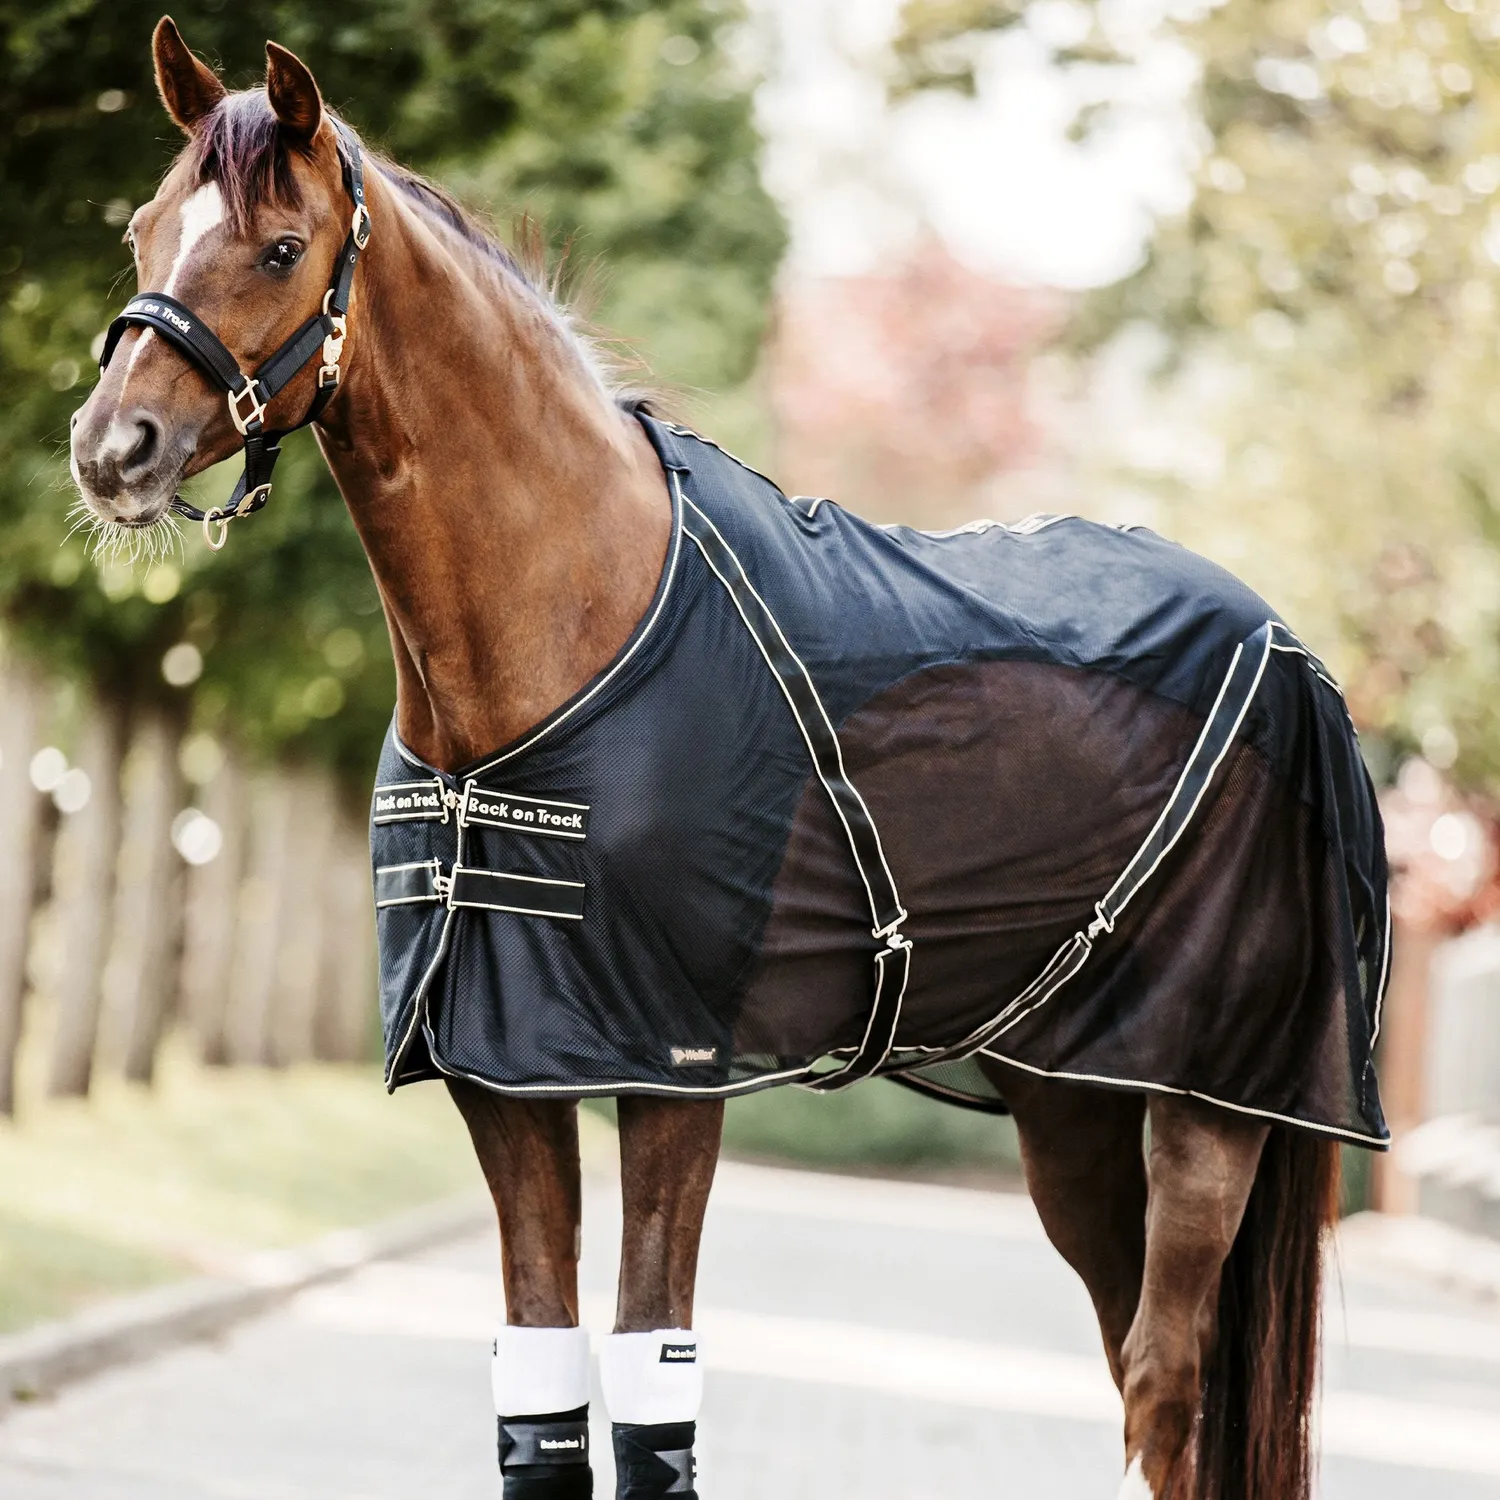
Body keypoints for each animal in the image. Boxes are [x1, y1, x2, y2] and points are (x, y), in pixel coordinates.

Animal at [67, 21, 1389, 1500]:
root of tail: (1291, 648)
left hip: (1211, 1103)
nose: (112, 449)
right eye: (140, 229)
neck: (577, 618)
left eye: (282, 246)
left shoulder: (674, 1069)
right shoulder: (502, 1074)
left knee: (1166, 1385)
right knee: (1143, 1371)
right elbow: (541, 1383)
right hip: (1076, 1106)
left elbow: (654, 1384)